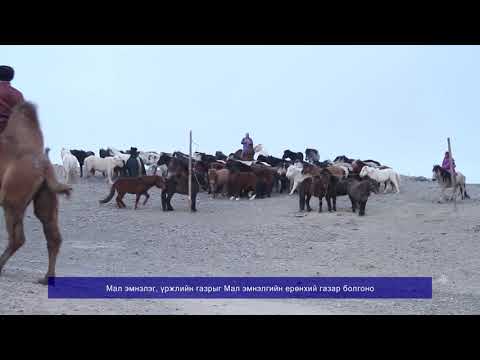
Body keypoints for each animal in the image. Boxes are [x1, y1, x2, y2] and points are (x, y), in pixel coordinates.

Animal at [0, 102, 72, 286]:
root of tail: (45, 167)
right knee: (53, 234)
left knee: (17, 237)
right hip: (46, 197)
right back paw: (47, 277)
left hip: (12, 199)